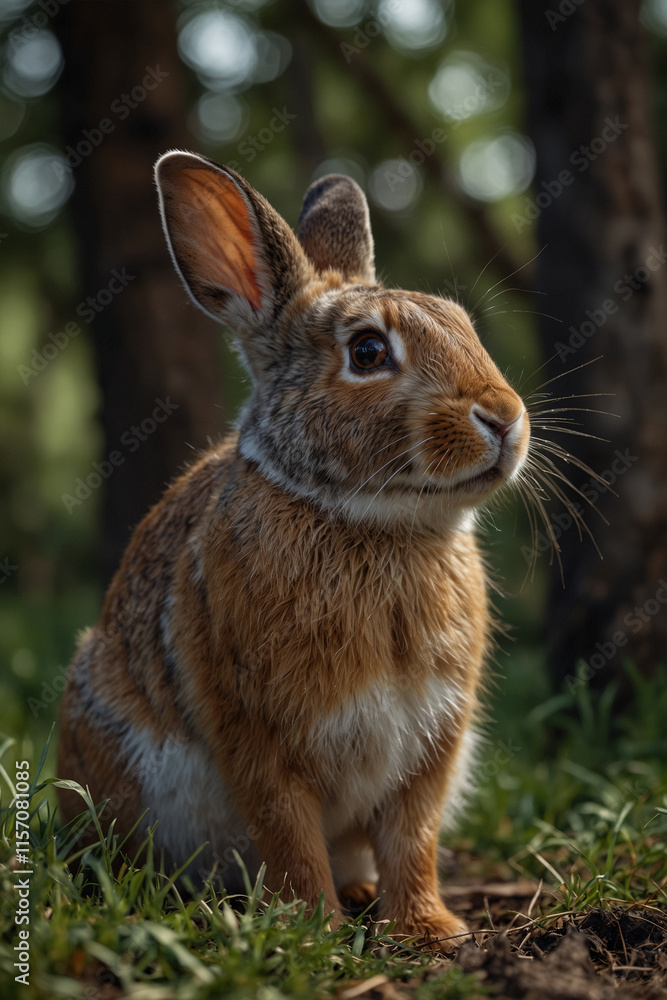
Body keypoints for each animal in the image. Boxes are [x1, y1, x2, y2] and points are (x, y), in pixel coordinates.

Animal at [57, 150, 530, 952]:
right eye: (367, 352)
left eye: (465, 327)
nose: (504, 418)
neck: (370, 522)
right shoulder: (257, 732)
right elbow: (289, 831)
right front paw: (314, 928)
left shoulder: (432, 737)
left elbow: (414, 835)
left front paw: (431, 929)